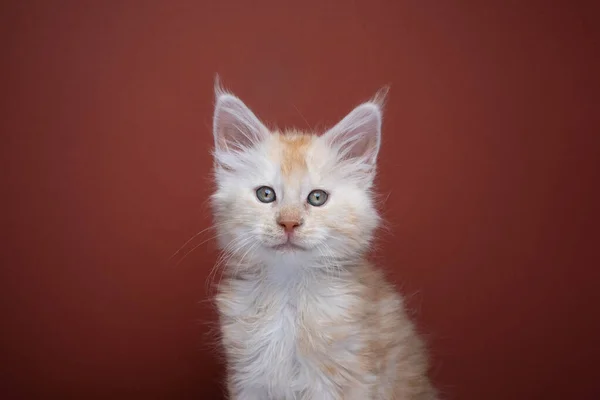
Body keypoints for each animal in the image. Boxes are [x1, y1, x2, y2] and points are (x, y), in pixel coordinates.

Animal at [210, 81, 436, 400]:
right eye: (266, 194)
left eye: (317, 198)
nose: (289, 223)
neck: (288, 295)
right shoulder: (249, 379)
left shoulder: (342, 379)